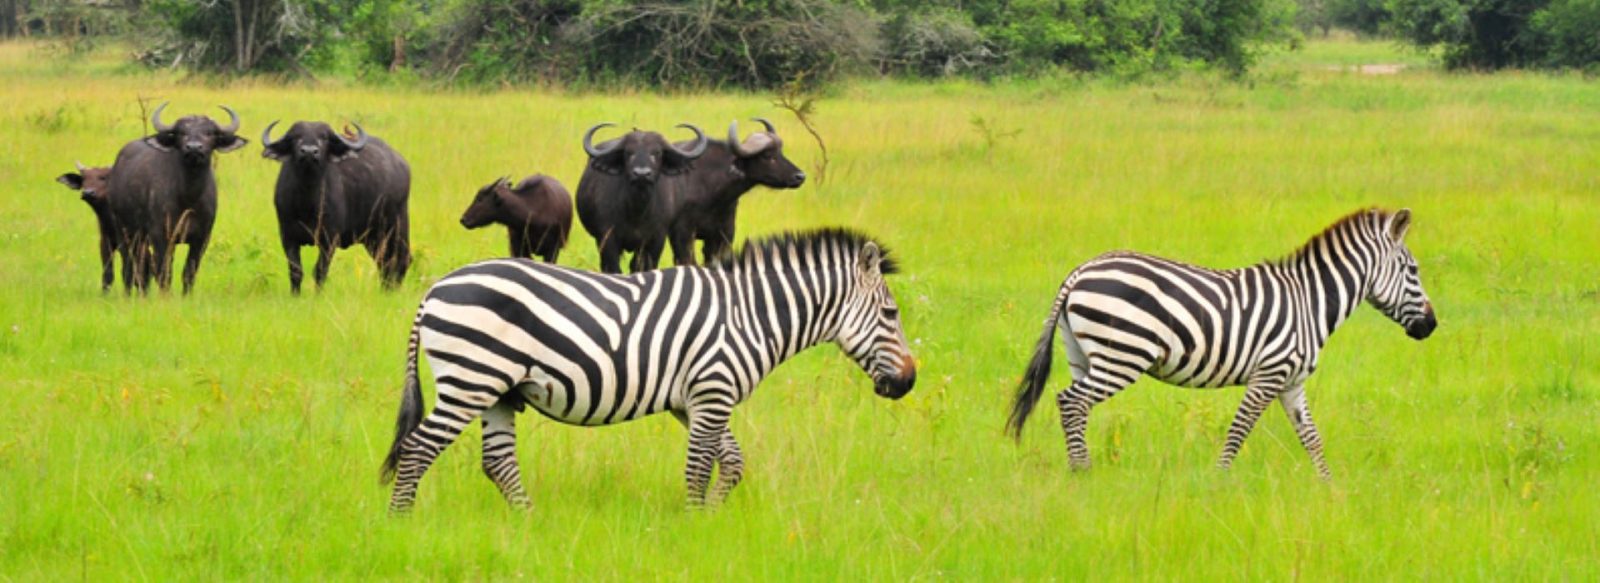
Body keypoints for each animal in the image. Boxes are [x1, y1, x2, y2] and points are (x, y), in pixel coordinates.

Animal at [107, 103, 246, 294]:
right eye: (181, 132)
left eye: (209, 133)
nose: (194, 148)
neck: (189, 197)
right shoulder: (161, 236)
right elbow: (164, 273)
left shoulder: (201, 239)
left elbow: (189, 272)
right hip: (123, 231)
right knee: (128, 267)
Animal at [261, 120, 412, 293]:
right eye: (295, 137)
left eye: (324, 138)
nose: (309, 152)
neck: (307, 202)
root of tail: (402, 164)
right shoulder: (288, 237)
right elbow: (295, 271)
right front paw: (295, 295)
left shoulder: (329, 239)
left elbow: (320, 271)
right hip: (373, 237)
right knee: (384, 261)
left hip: (397, 226)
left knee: (401, 258)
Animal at [380, 228, 917, 511]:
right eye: (892, 315)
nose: (910, 382)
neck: (748, 314)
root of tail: (434, 290)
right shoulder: (712, 391)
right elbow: (700, 466)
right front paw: (695, 525)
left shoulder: (693, 400)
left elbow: (733, 462)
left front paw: (711, 519)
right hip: (470, 380)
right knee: (419, 448)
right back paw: (401, 522)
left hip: (497, 391)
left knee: (497, 462)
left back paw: (527, 524)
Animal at [573, 123, 708, 273]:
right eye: (628, 153)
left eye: (657, 153)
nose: (641, 174)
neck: (637, 211)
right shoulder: (606, 236)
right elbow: (613, 267)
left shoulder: (656, 238)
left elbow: (642, 266)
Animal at [1007, 208, 1436, 477]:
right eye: (1414, 271)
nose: (1431, 326)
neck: (1309, 302)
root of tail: (1079, 271)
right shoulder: (1269, 373)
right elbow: (1239, 429)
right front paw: (1219, 480)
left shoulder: (1292, 381)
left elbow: (1311, 438)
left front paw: (1329, 487)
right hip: (1123, 355)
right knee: (1071, 401)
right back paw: (1083, 472)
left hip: (1082, 354)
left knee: (1074, 406)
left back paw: (1078, 467)